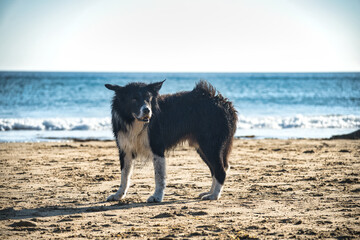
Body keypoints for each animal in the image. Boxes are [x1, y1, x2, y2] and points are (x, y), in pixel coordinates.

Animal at [105, 79, 238, 202]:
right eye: (134, 99)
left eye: (148, 98)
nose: (147, 110)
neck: (134, 121)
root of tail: (224, 102)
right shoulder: (125, 150)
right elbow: (124, 176)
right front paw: (118, 195)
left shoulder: (157, 148)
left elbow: (159, 176)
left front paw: (157, 197)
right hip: (203, 148)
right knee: (215, 170)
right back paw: (209, 192)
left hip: (210, 145)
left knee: (221, 170)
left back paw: (214, 195)